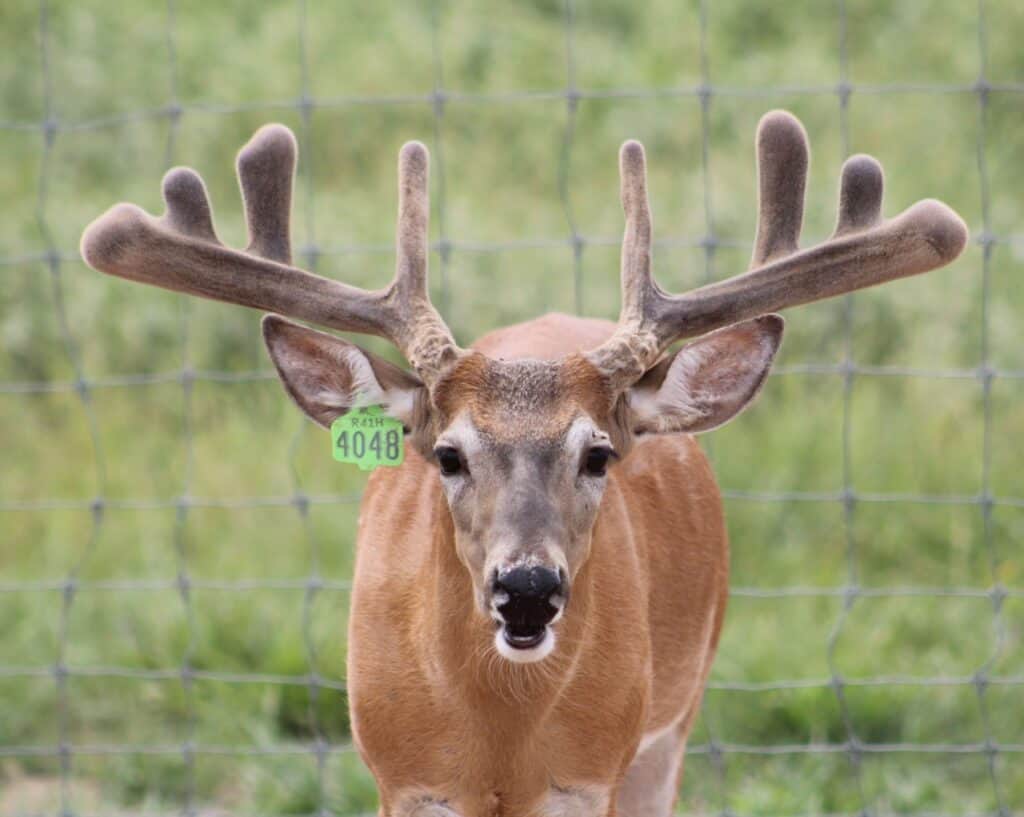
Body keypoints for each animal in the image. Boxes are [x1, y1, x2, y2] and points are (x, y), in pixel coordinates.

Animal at [80, 110, 967, 817]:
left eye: (599, 454)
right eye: (447, 453)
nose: (529, 587)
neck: (497, 738)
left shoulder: (588, 777)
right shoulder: (404, 780)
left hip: (670, 724)